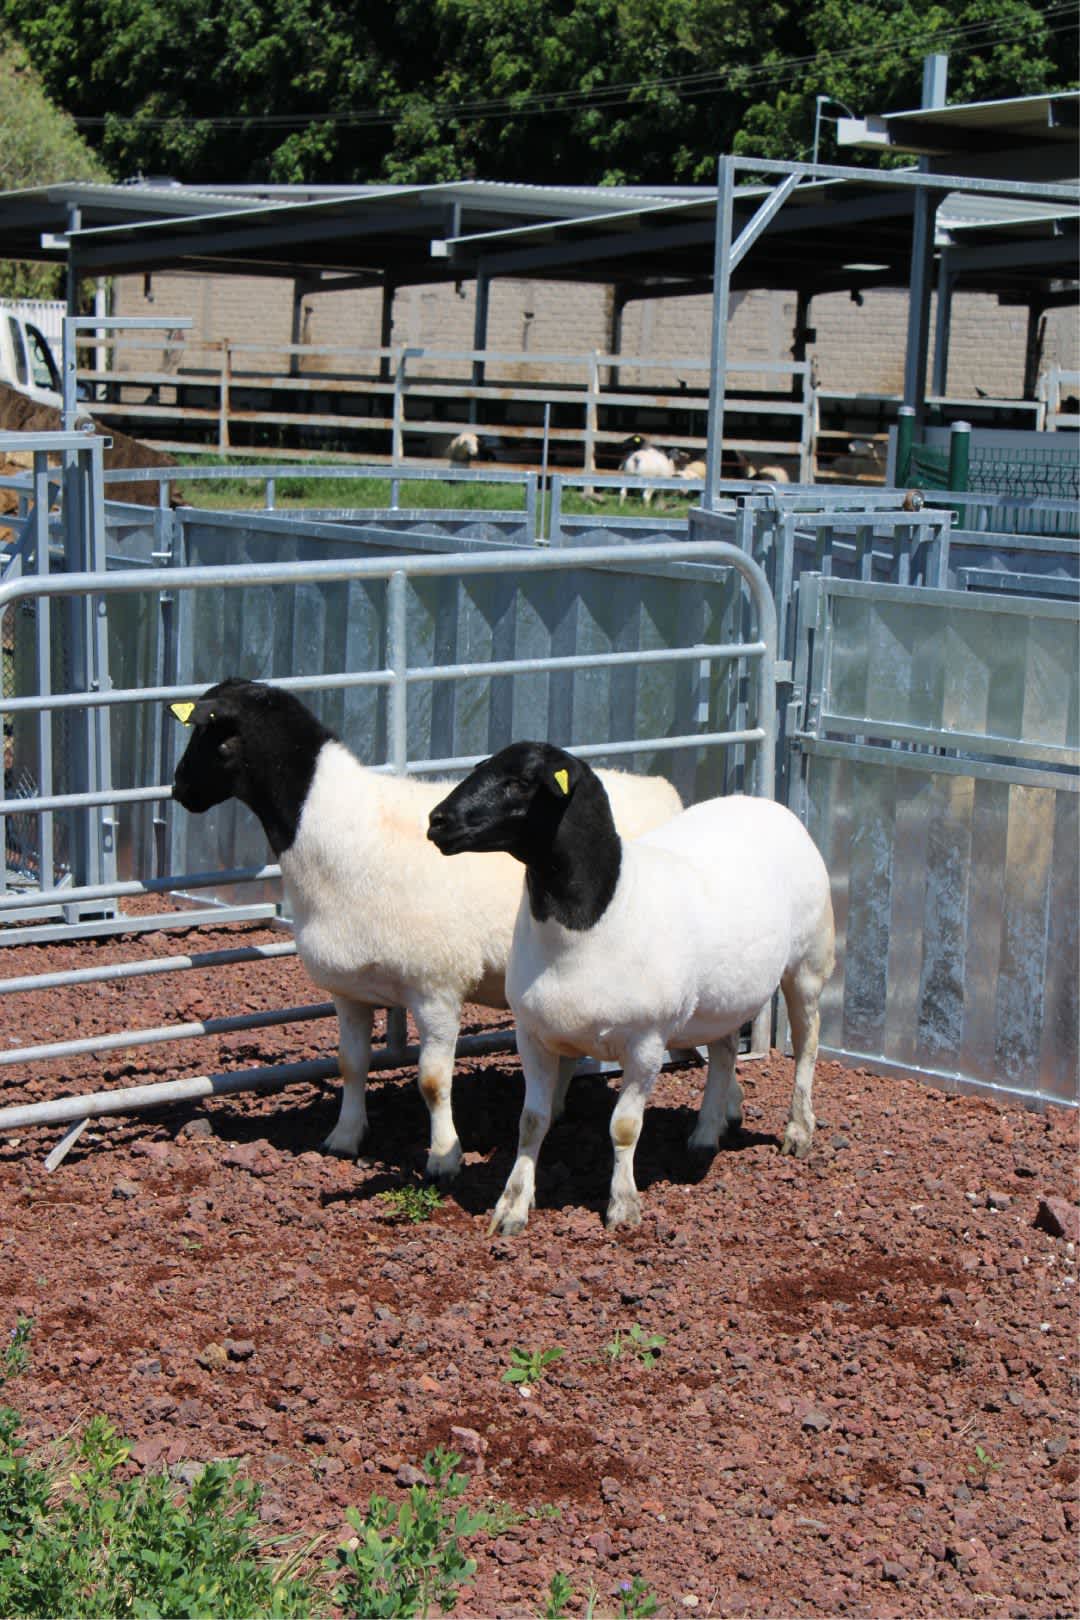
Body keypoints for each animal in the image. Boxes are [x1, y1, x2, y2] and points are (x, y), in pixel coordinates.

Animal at [170, 680, 683, 1182]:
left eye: (210, 732)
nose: (178, 789)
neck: (335, 831)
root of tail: (662, 788)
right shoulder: (349, 990)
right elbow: (351, 1064)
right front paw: (344, 1136)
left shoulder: (436, 986)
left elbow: (433, 1082)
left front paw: (442, 1158)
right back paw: (556, 1107)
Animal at [427, 740, 835, 1234]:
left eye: (522, 781)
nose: (437, 821)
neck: (596, 914)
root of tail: (765, 804)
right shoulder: (532, 1034)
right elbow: (531, 1121)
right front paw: (512, 1207)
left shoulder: (645, 1042)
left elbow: (623, 1127)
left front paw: (623, 1206)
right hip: (720, 996)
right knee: (723, 1053)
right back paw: (705, 1134)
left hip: (808, 963)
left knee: (808, 1044)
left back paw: (798, 1131)